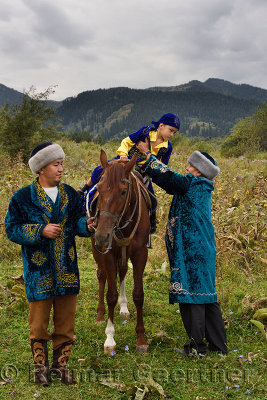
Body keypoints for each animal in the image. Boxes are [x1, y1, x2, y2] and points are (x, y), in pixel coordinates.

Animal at [91, 149, 151, 354]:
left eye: (123, 192)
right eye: (99, 188)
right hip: (98, 251)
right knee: (102, 276)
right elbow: (111, 295)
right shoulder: (108, 254)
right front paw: (109, 338)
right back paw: (100, 315)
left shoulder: (140, 254)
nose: (102, 235)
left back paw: (124, 308)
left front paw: (141, 338)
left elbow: (139, 294)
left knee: (123, 272)